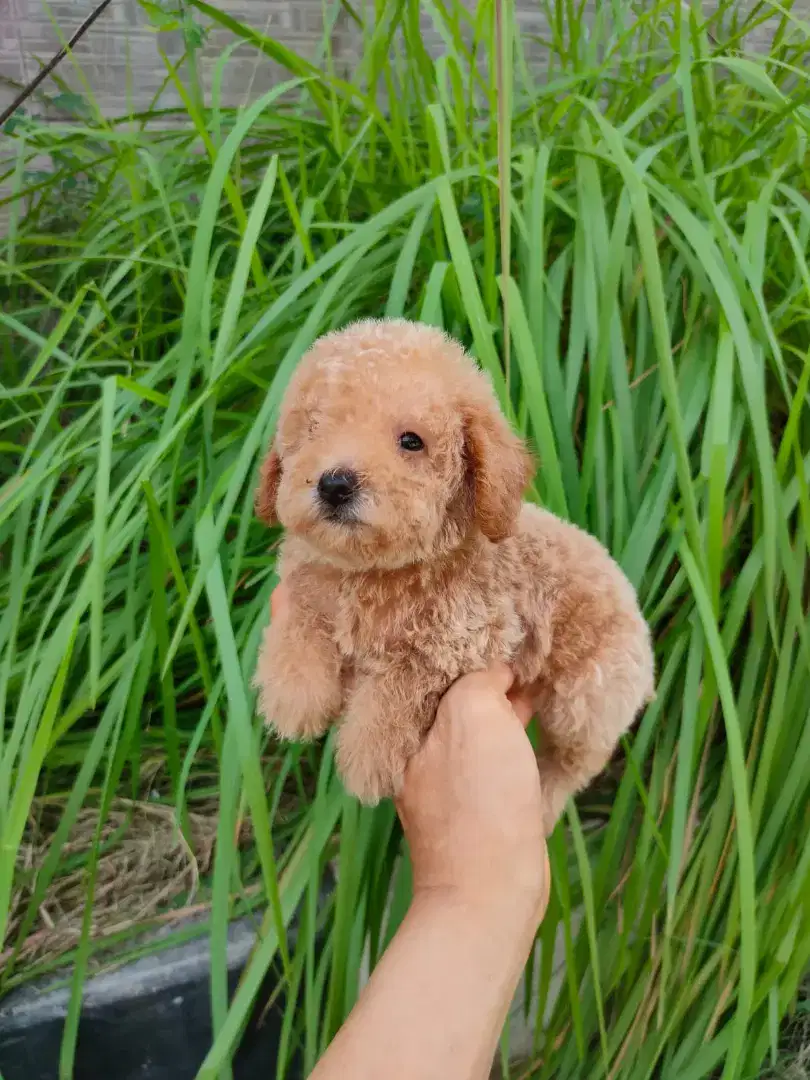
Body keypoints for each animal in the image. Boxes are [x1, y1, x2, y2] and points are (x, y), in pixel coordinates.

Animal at [257, 315, 656, 829]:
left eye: (411, 442)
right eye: (313, 430)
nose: (335, 483)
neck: (372, 570)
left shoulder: (460, 640)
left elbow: (396, 693)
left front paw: (367, 760)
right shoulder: (307, 586)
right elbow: (301, 624)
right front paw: (293, 698)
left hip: (589, 699)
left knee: (573, 762)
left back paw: (545, 803)